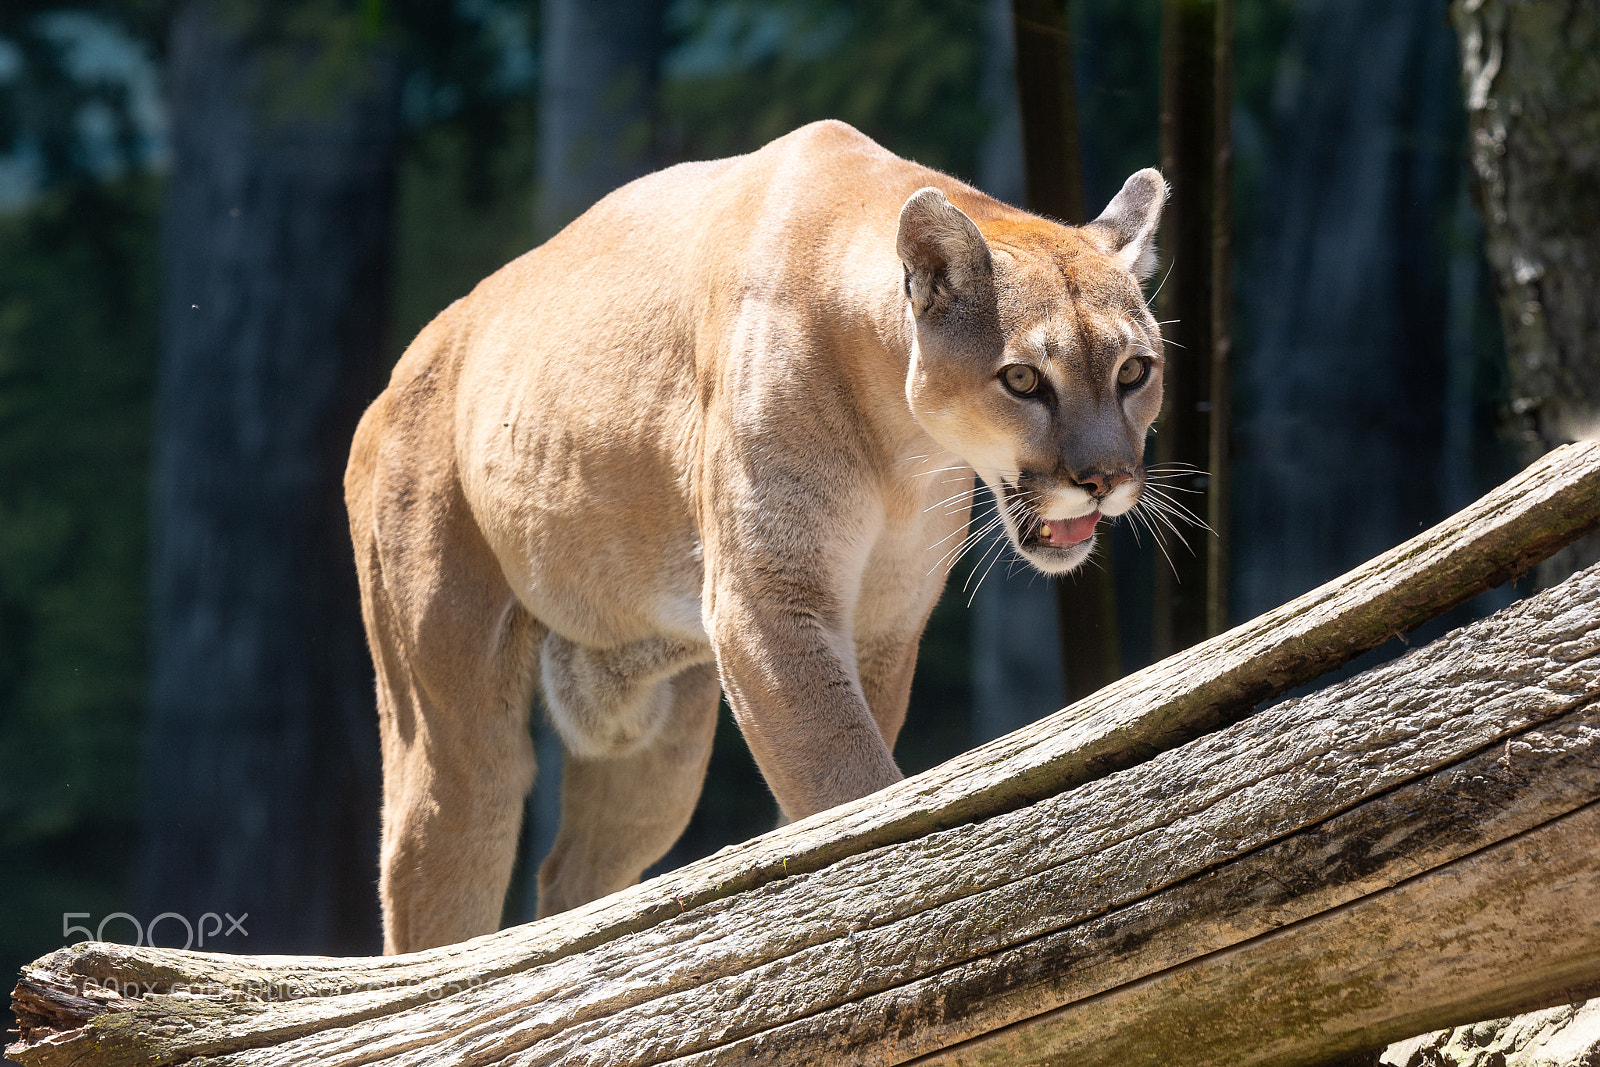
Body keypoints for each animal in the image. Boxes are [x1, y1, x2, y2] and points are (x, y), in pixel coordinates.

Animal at [345, 120, 1166, 953]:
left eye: (1135, 371)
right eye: (1024, 379)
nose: (1106, 477)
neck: (904, 444)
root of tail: (400, 371)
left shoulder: (882, 621)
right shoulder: (769, 603)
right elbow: (850, 785)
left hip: (659, 751)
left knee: (576, 886)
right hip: (452, 728)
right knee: (440, 889)